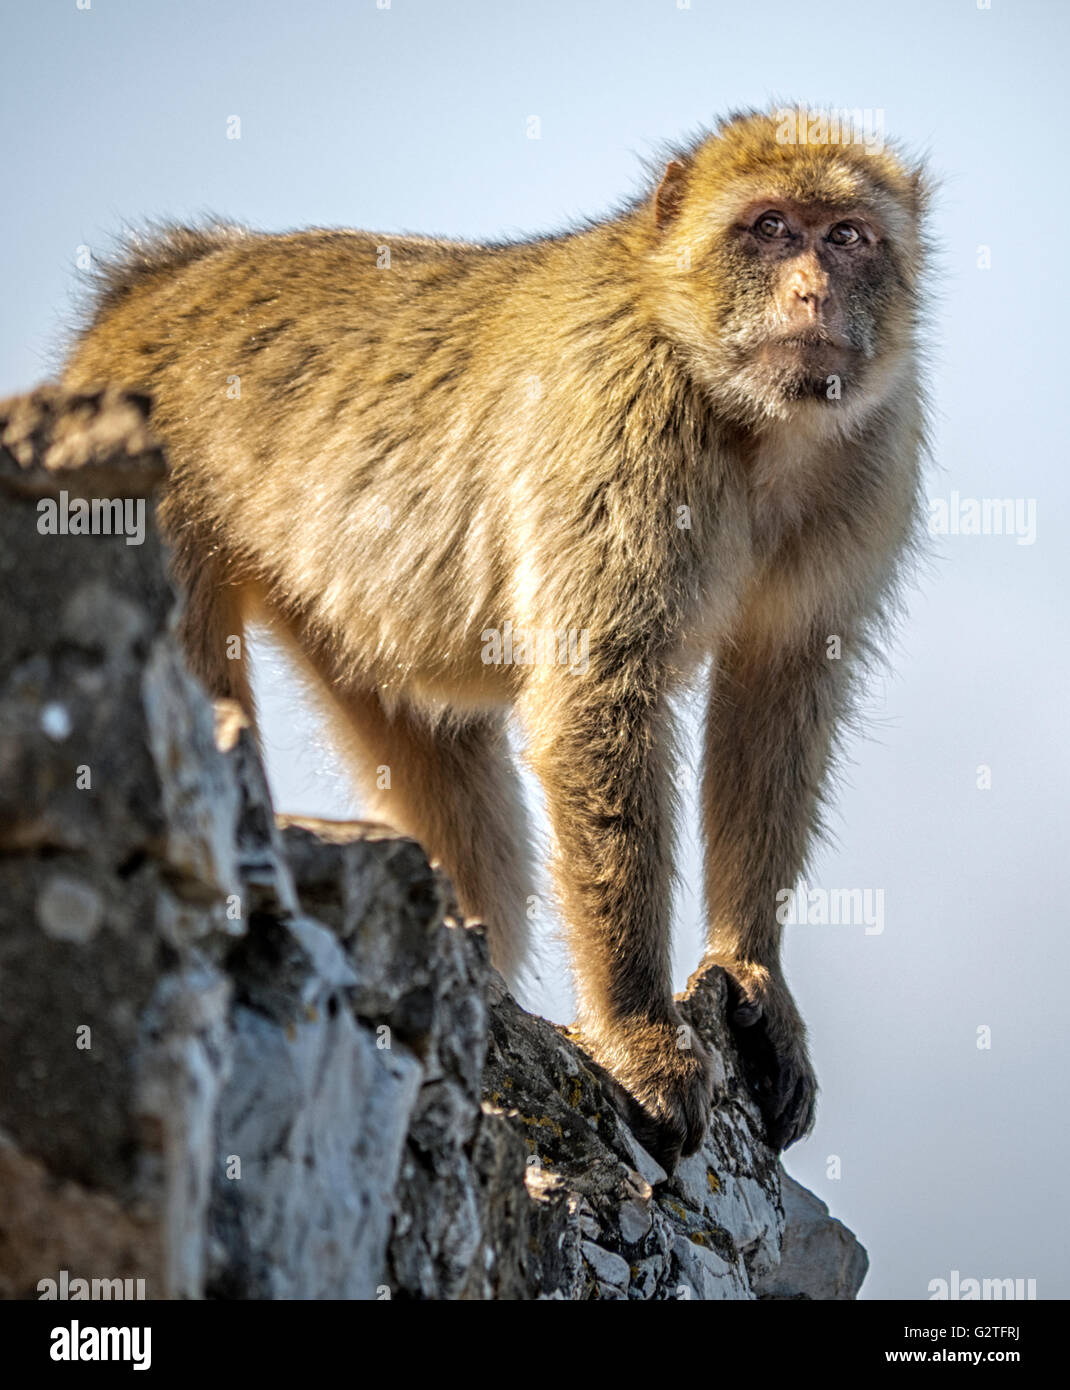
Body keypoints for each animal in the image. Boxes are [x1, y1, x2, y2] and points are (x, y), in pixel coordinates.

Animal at [60, 111, 922, 1173]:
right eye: (768, 227)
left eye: (847, 236)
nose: (813, 291)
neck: (752, 423)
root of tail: (155, 287)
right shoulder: (623, 432)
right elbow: (597, 701)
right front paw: (640, 1029)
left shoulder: (871, 453)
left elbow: (778, 696)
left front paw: (752, 969)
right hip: (144, 494)